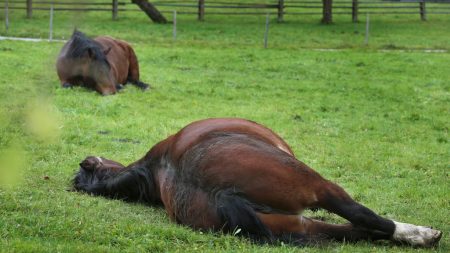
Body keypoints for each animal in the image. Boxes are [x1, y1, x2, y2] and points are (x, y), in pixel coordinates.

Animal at [72, 118, 442, 247]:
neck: (156, 169)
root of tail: (223, 195)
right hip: (318, 187)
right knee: (364, 218)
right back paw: (421, 234)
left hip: (299, 224)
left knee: (355, 231)